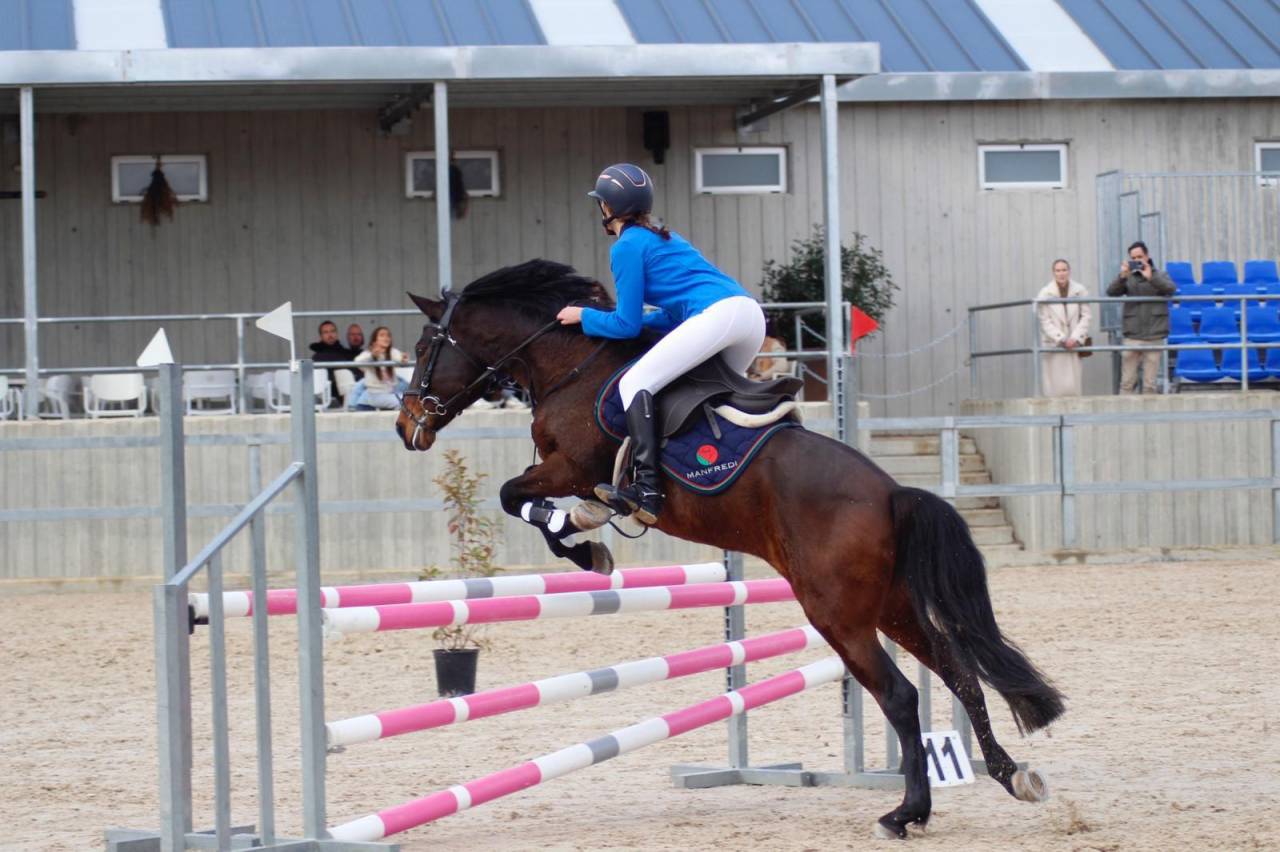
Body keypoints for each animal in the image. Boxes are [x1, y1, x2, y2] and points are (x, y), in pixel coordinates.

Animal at [395, 259, 1065, 840]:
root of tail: (893, 493)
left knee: (900, 696)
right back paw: (1009, 776)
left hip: (839, 615)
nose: (406, 427)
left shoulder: (570, 468)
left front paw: (586, 545)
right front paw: (587, 542)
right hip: (892, 608)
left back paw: (906, 813)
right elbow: (522, 500)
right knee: (960, 675)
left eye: (426, 346)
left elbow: (517, 497)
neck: (570, 365)